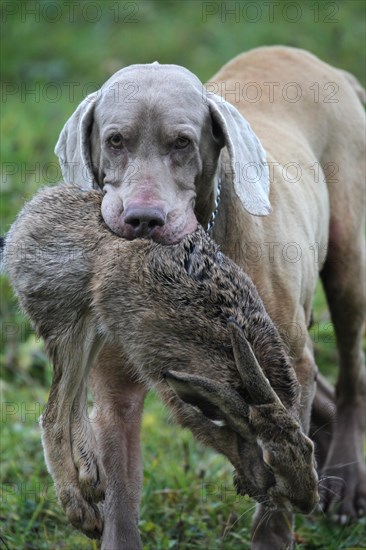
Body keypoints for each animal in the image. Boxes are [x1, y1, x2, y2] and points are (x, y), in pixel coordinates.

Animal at [55, 45, 366, 548]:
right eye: (115, 140)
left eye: (182, 142)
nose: (143, 219)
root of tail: (317, 62)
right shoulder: (116, 390)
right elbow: (120, 494)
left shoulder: (285, 363)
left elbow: (278, 482)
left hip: (346, 260)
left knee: (352, 370)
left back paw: (348, 479)